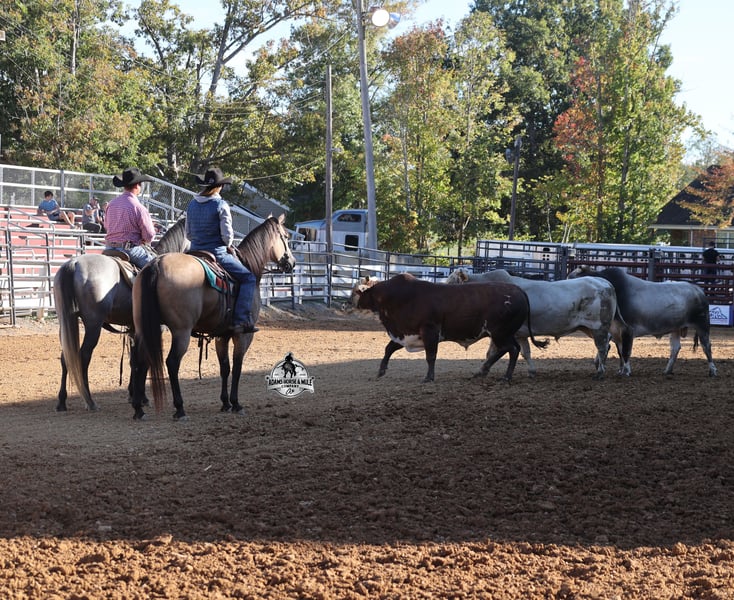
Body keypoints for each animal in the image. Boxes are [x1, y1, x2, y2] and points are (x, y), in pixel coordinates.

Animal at [53, 217, 190, 412]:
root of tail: (74, 264)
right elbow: (143, 358)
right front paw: (141, 397)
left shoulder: (133, 327)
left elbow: (134, 360)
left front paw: (135, 395)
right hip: (93, 324)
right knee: (84, 355)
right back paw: (90, 402)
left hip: (65, 321)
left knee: (66, 357)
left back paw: (62, 401)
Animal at [130, 214, 295, 420]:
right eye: (286, 237)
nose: (292, 262)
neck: (249, 265)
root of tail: (156, 264)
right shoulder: (243, 335)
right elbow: (237, 366)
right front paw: (236, 403)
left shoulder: (221, 335)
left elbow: (224, 367)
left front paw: (225, 403)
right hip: (181, 331)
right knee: (172, 362)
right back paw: (179, 408)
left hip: (144, 327)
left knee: (140, 359)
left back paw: (138, 408)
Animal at [351, 273, 548, 383]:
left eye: (356, 291)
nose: (348, 303)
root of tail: (519, 291)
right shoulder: (407, 333)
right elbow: (389, 349)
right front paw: (381, 371)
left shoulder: (429, 331)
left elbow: (431, 356)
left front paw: (428, 378)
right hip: (505, 333)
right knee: (508, 349)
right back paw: (482, 372)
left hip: (500, 333)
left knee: (511, 350)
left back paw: (505, 377)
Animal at [447, 268, 619, 379]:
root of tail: (605, 283)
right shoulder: (519, 334)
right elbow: (525, 352)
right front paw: (531, 372)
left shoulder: (499, 332)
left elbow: (493, 352)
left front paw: (482, 370)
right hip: (587, 328)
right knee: (607, 343)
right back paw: (599, 365)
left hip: (598, 327)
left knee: (602, 346)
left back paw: (600, 372)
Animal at [568, 265, 717, 377]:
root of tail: (699, 290)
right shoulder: (616, 332)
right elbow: (621, 352)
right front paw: (621, 371)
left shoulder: (627, 330)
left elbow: (626, 352)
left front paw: (626, 372)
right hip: (676, 328)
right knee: (675, 348)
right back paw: (667, 370)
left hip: (702, 325)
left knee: (706, 346)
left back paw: (712, 371)